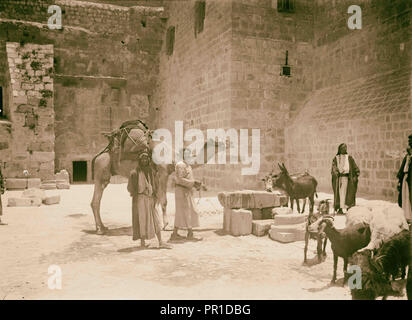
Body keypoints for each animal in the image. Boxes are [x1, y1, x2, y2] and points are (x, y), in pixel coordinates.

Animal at [89, 120, 220, 235]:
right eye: (219, 142)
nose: (225, 142)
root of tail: (97, 157)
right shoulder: (163, 173)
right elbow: (163, 200)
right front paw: (166, 225)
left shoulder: (155, 176)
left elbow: (155, 200)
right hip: (102, 169)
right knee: (95, 201)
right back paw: (100, 229)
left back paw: (102, 227)